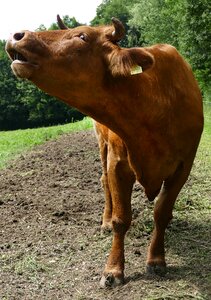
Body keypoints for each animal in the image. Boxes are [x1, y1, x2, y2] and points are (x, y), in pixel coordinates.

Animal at [5, 17, 203, 288]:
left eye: (82, 36)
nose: (16, 35)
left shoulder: (184, 167)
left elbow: (162, 212)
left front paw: (156, 260)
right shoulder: (118, 164)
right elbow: (122, 219)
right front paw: (113, 269)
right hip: (102, 145)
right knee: (103, 181)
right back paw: (105, 222)